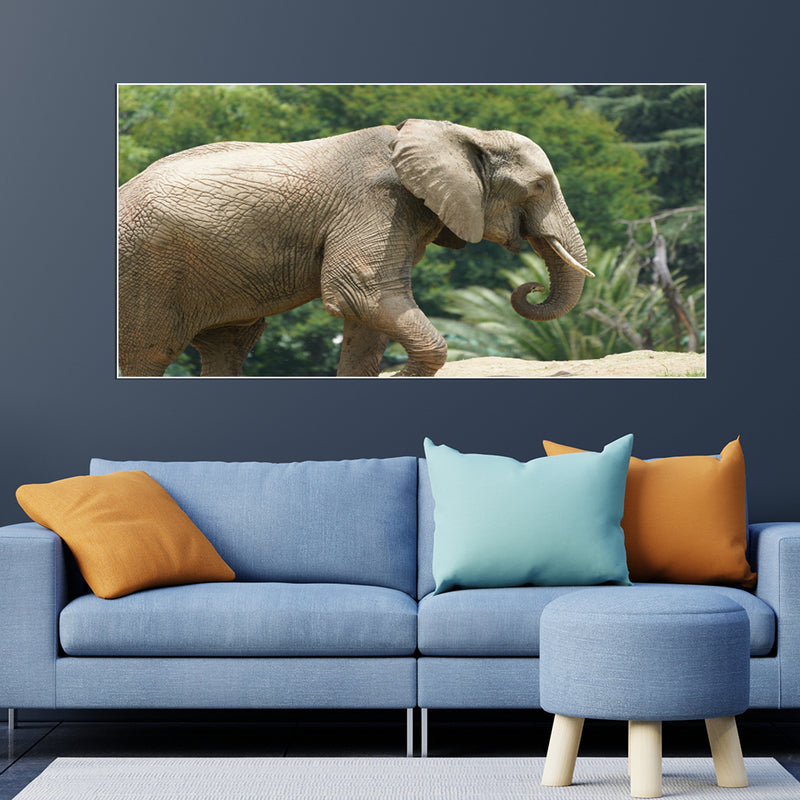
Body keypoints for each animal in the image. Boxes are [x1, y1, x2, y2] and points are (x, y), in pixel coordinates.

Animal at [117, 119, 591, 377]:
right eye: (539, 186)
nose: (530, 287)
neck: (458, 133)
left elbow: (368, 312)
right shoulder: (377, 202)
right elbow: (361, 292)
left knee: (229, 345)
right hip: (145, 272)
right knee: (149, 354)